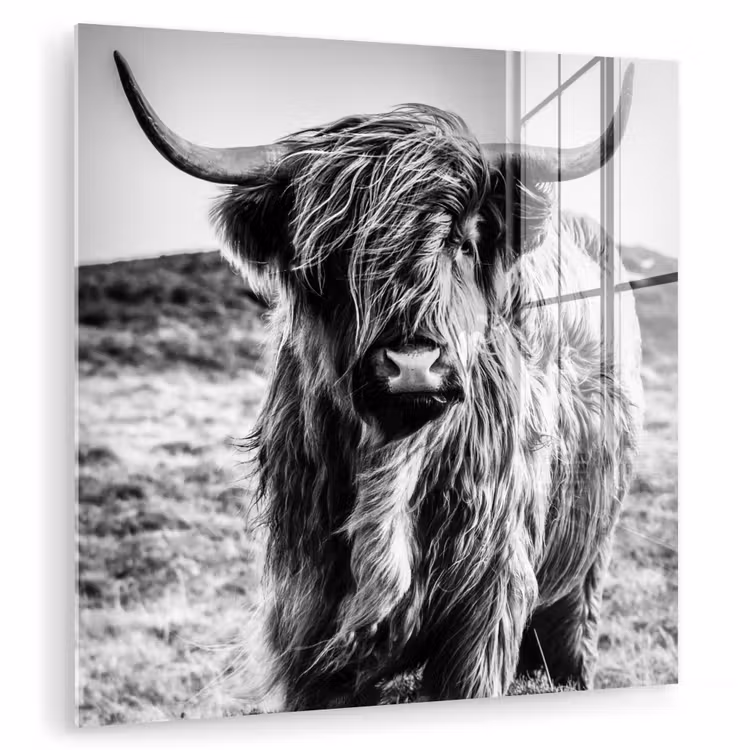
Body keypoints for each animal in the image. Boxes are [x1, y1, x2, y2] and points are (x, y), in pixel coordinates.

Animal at [114, 51, 643, 710]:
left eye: (463, 241)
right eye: (330, 255)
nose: (412, 363)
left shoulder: (486, 605)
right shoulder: (307, 615)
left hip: (584, 566)